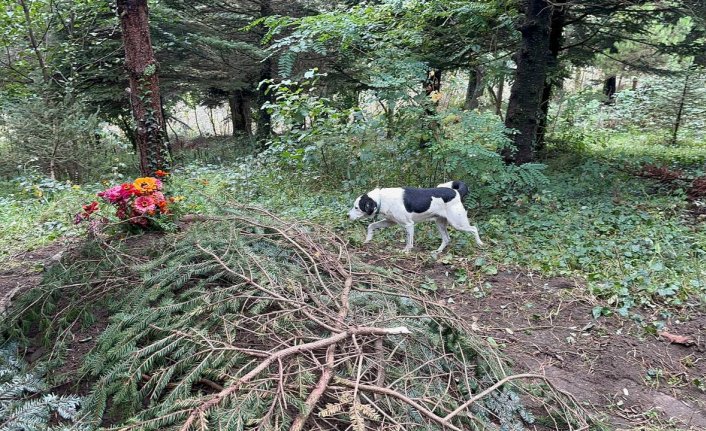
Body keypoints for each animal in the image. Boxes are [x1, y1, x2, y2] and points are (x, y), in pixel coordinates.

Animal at [348, 181, 482, 255]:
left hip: (458, 223)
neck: (381, 198)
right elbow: (371, 226)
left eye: (356, 207)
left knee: (474, 229)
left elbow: (409, 243)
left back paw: (480, 243)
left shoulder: (409, 225)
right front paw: (368, 239)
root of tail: (456, 193)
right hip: (440, 223)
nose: (347, 215)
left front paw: (405, 252)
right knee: (447, 239)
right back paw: (437, 251)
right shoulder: (390, 221)